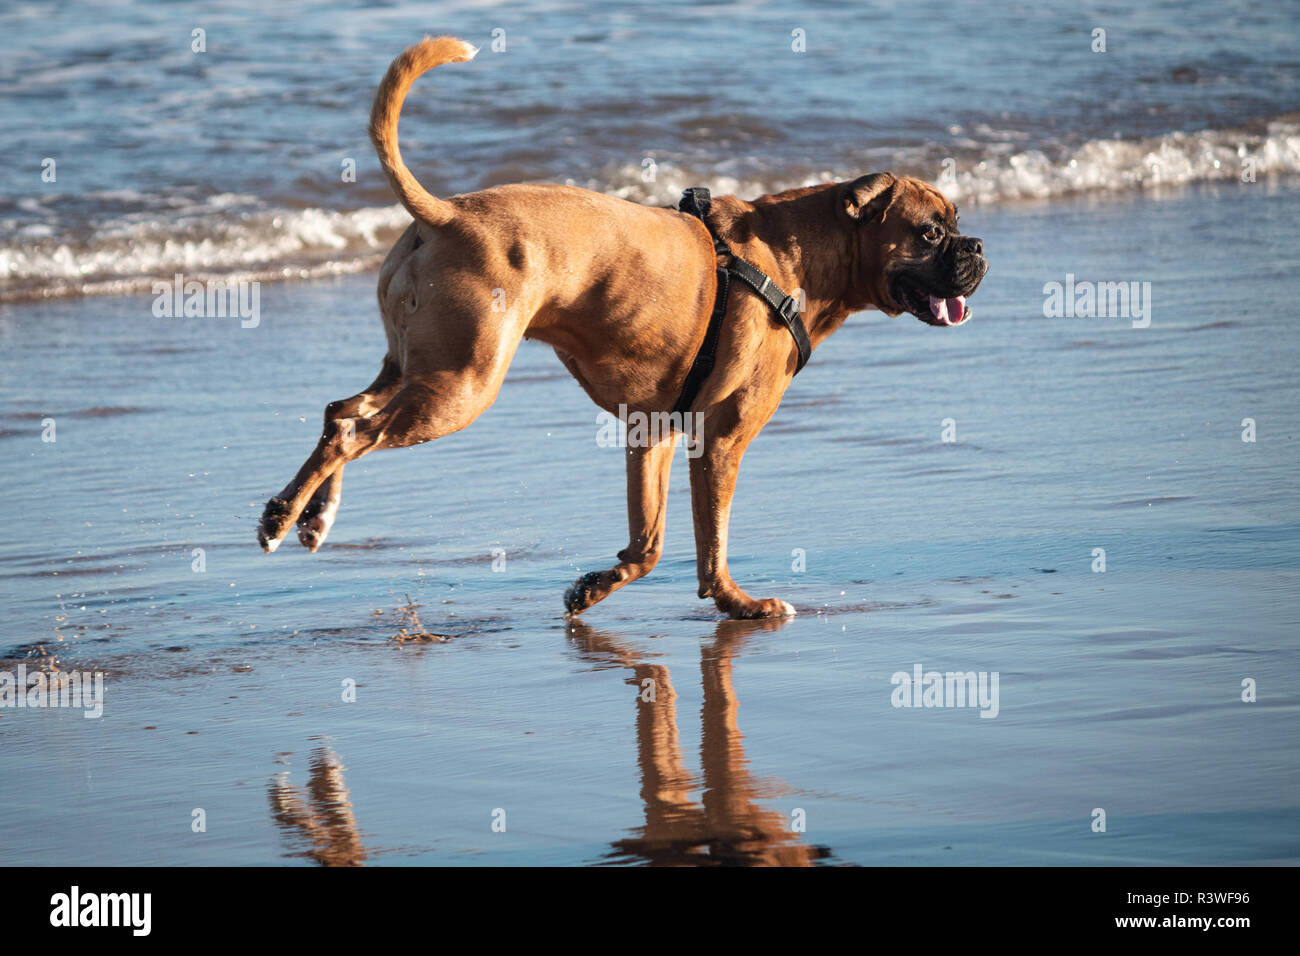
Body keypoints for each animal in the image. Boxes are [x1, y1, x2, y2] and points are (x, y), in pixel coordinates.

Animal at [256, 35, 982, 621]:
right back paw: (289, 516)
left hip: (416, 368)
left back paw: (310, 515)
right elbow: (710, 542)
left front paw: (596, 587)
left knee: (344, 412)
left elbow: (649, 545)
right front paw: (738, 605)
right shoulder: (721, 440)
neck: (796, 252)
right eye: (929, 232)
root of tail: (449, 214)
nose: (977, 248)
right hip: (461, 386)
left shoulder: (652, 431)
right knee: (354, 432)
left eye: (954, 224)